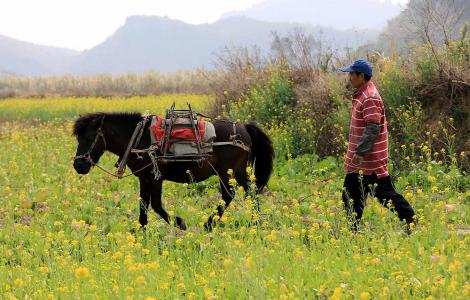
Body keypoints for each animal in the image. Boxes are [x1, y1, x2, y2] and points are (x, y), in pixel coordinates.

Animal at [71, 111, 274, 231]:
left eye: (89, 137)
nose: (78, 165)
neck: (139, 139)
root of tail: (244, 127)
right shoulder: (144, 178)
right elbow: (143, 205)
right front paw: (141, 232)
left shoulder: (155, 178)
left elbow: (156, 205)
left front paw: (180, 223)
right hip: (232, 173)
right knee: (240, 194)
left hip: (230, 171)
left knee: (238, 194)